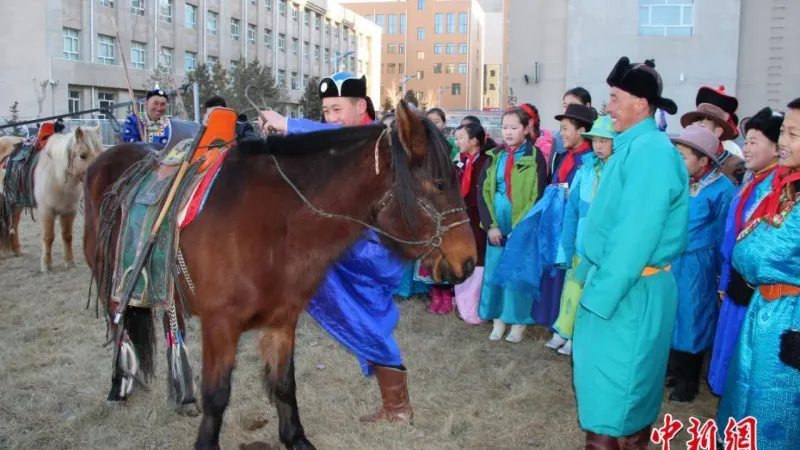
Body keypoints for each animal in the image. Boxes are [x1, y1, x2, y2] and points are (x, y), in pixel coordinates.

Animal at [83, 102, 476, 450]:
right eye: (440, 184)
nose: (470, 261)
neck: (271, 222)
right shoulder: (220, 323)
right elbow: (218, 393)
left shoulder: (282, 320)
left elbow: (285, 384)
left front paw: (295, 438)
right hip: (110, 282)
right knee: (120, 330)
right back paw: (119, 386)